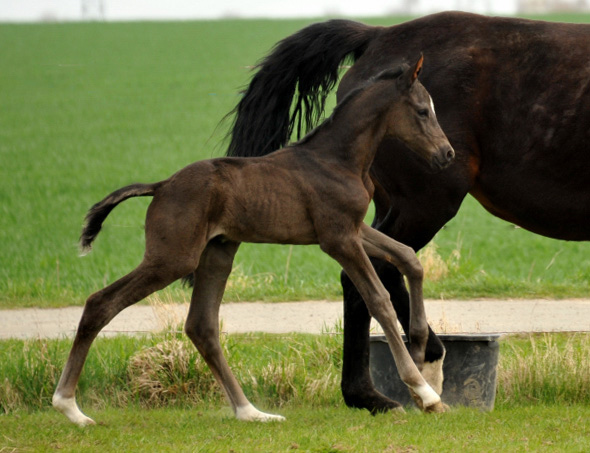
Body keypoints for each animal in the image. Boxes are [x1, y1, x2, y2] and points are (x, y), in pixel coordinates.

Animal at [53, 55, 456, 424]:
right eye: (423, 111)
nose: (447, 154)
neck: (338, 159)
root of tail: (161, 186)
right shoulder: (339, 239)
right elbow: (379, 299)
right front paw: (423, 392)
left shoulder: (355, 229)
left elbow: (409, 258)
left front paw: (422, 351)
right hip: (173, 258)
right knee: (101, 303)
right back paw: (70, 408)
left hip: (217, 253)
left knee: (201, 326)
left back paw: (251, 413)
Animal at [227, 11, 590, 414]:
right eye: (422, 111)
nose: (444, 151)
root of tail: (377, 35)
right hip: (426, 202)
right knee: (377, 273)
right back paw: (414, 372)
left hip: (388, 206)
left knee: (375, 272)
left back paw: (373, 392)